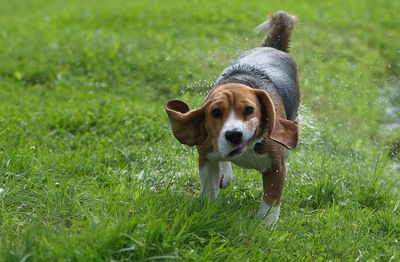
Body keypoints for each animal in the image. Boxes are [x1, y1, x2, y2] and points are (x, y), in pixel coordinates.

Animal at [164, 11, 298, 222]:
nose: (234, 134)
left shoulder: (276, 168)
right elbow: (209, 189)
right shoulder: (206, 157)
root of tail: (271, 47)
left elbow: (270, 203)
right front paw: (209, 210)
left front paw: (264, 226)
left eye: (249, 110)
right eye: (216, 113)